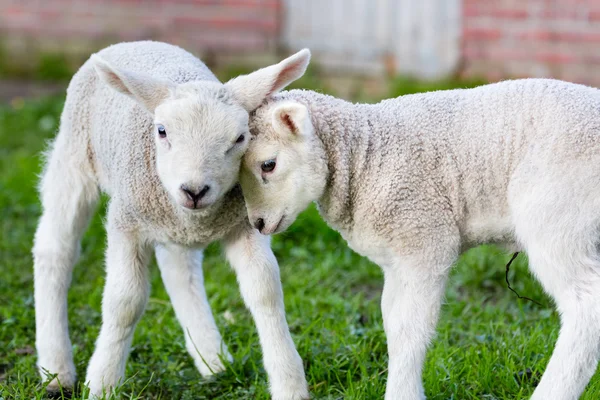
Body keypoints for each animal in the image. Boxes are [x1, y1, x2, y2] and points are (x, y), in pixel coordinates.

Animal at [32, 39, 312, 398]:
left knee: (179, 270)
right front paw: (103, 383)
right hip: (74, 156)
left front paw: (289, 383)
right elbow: (125, 301)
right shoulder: (127, 221)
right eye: (162, 131)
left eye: (240, 138)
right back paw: (55, 369)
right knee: (55, 249)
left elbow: (265, 289)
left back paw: (212, 359)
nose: (194, 190)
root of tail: (137, 41)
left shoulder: (242, 223)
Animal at [241, 79, 600, 400]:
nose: (257, 223)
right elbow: (391, 323)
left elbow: (409, 331)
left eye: (268, 165)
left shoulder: (425, 240)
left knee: (587, 303)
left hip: (557, 215)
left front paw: (402, 394)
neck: (364, 154)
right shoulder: (395, 258)